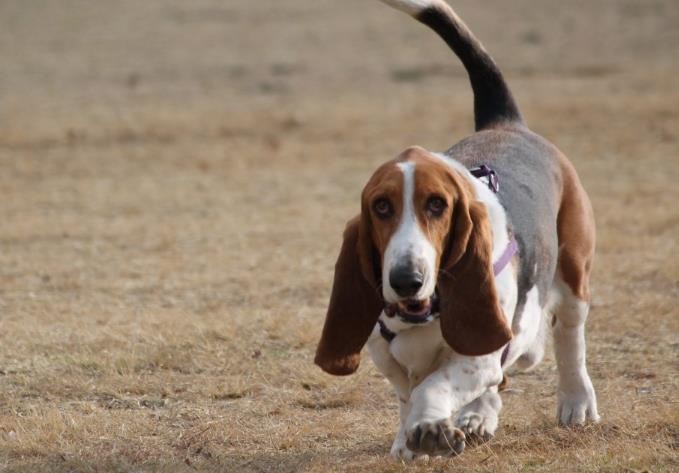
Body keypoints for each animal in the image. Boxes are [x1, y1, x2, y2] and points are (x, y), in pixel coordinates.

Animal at [314, 0, 600, 458]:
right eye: (381, 206)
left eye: (437, 204)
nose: (406, 279)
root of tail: (506, 122)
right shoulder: (387, 355)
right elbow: (408, 392)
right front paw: (408, 439)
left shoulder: (477, 355)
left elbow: (434, 386)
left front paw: (429, 427)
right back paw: (480, 415)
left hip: (573, 274)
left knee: (568, 336)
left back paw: (576, 402)